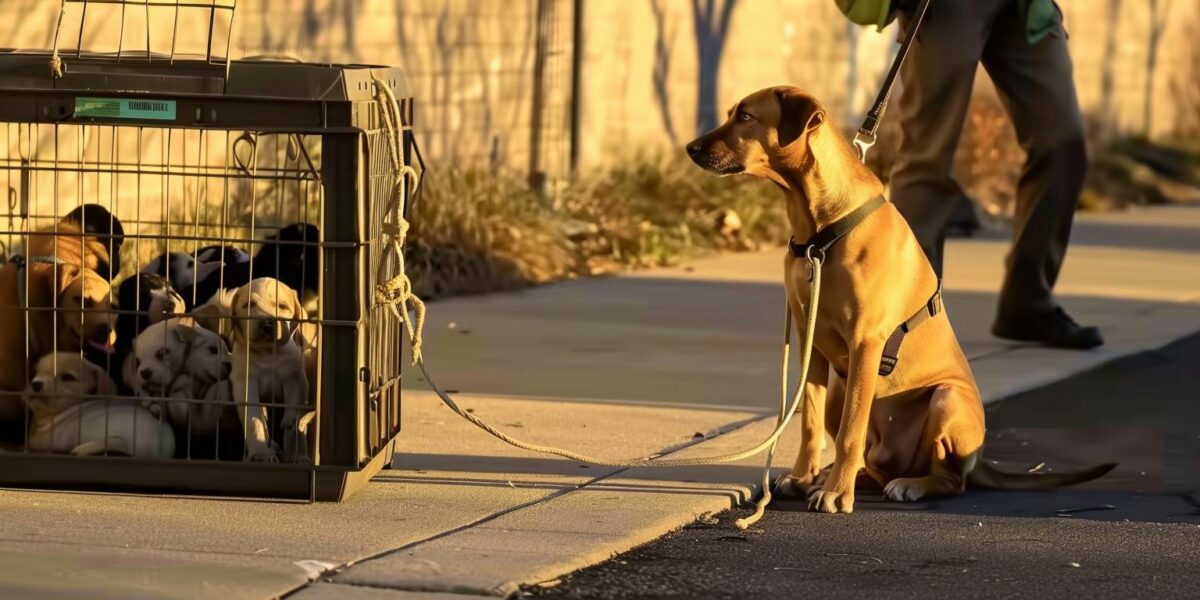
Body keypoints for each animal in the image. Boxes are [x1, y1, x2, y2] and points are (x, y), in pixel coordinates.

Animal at [208, 277, 316, 463]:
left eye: (282, 306)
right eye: (248, 305)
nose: (267, 323)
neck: (267, 354)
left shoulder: (295, 381)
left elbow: (294, 422)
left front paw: (298, 455)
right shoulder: (245, 383)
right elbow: (255, 420)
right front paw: (261, 453)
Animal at [686, 85, 1113, 516]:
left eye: (746, 117)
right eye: (732, 113)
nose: (691, 147)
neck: (821, 232)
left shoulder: (865, 342)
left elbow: (850, 432)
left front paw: (836, 494)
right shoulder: (813, 346)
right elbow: (809, 422)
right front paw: (804, 477)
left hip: (945, 399)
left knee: (950, 479)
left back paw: (908, 485)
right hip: (845, 392)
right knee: (874, 464)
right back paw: (845, 478)